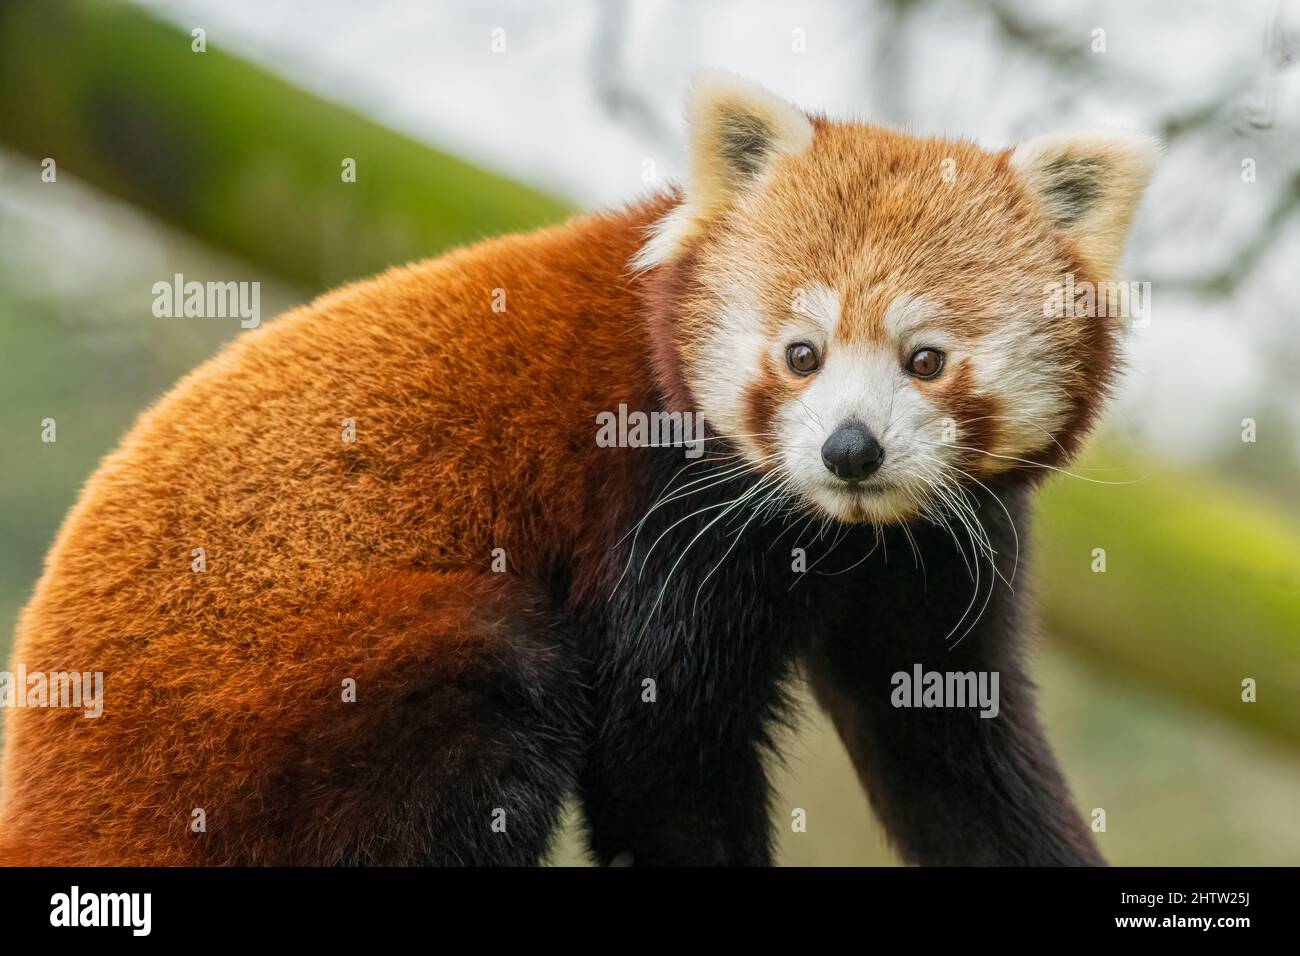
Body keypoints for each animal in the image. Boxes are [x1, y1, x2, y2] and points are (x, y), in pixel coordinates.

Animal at [0, 74, 1159, 868]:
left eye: (926, 359)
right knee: (498, 677)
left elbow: (952, 750)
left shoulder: (934, 553)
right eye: (802, 354)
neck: (831, 530)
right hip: (268, 709)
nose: (849, 449)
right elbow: (662, 751)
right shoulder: (659, 508)